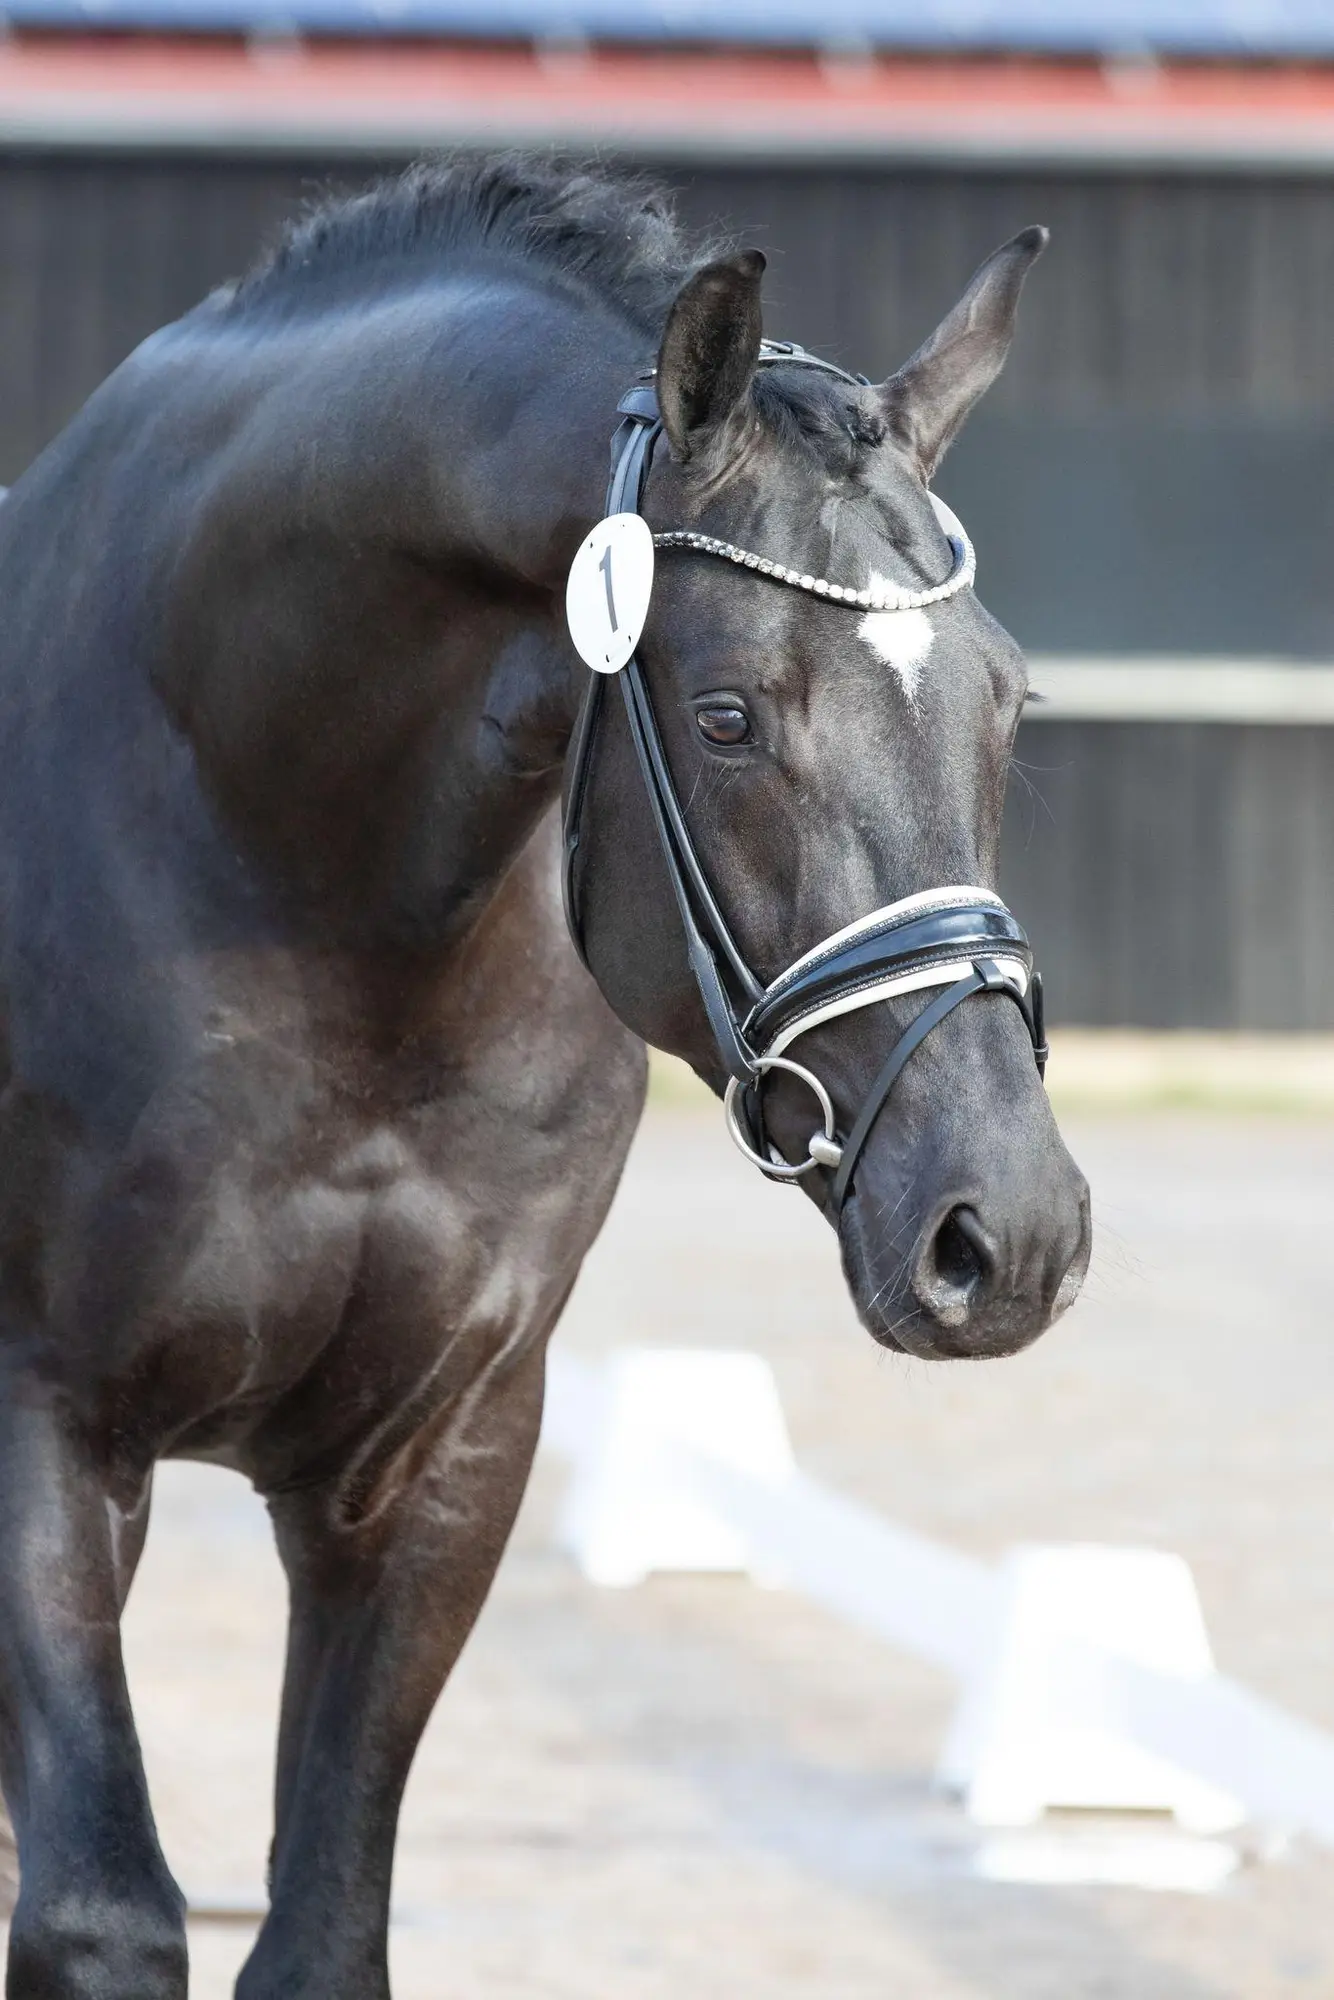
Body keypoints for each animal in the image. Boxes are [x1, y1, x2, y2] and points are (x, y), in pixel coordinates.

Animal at [0, 155, 1090, 1997]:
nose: (1002, 1237)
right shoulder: (42, 1426)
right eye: (724, 717)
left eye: (1003, 702)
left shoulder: (438, 1459)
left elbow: (323, 1927)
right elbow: (96, 1912)